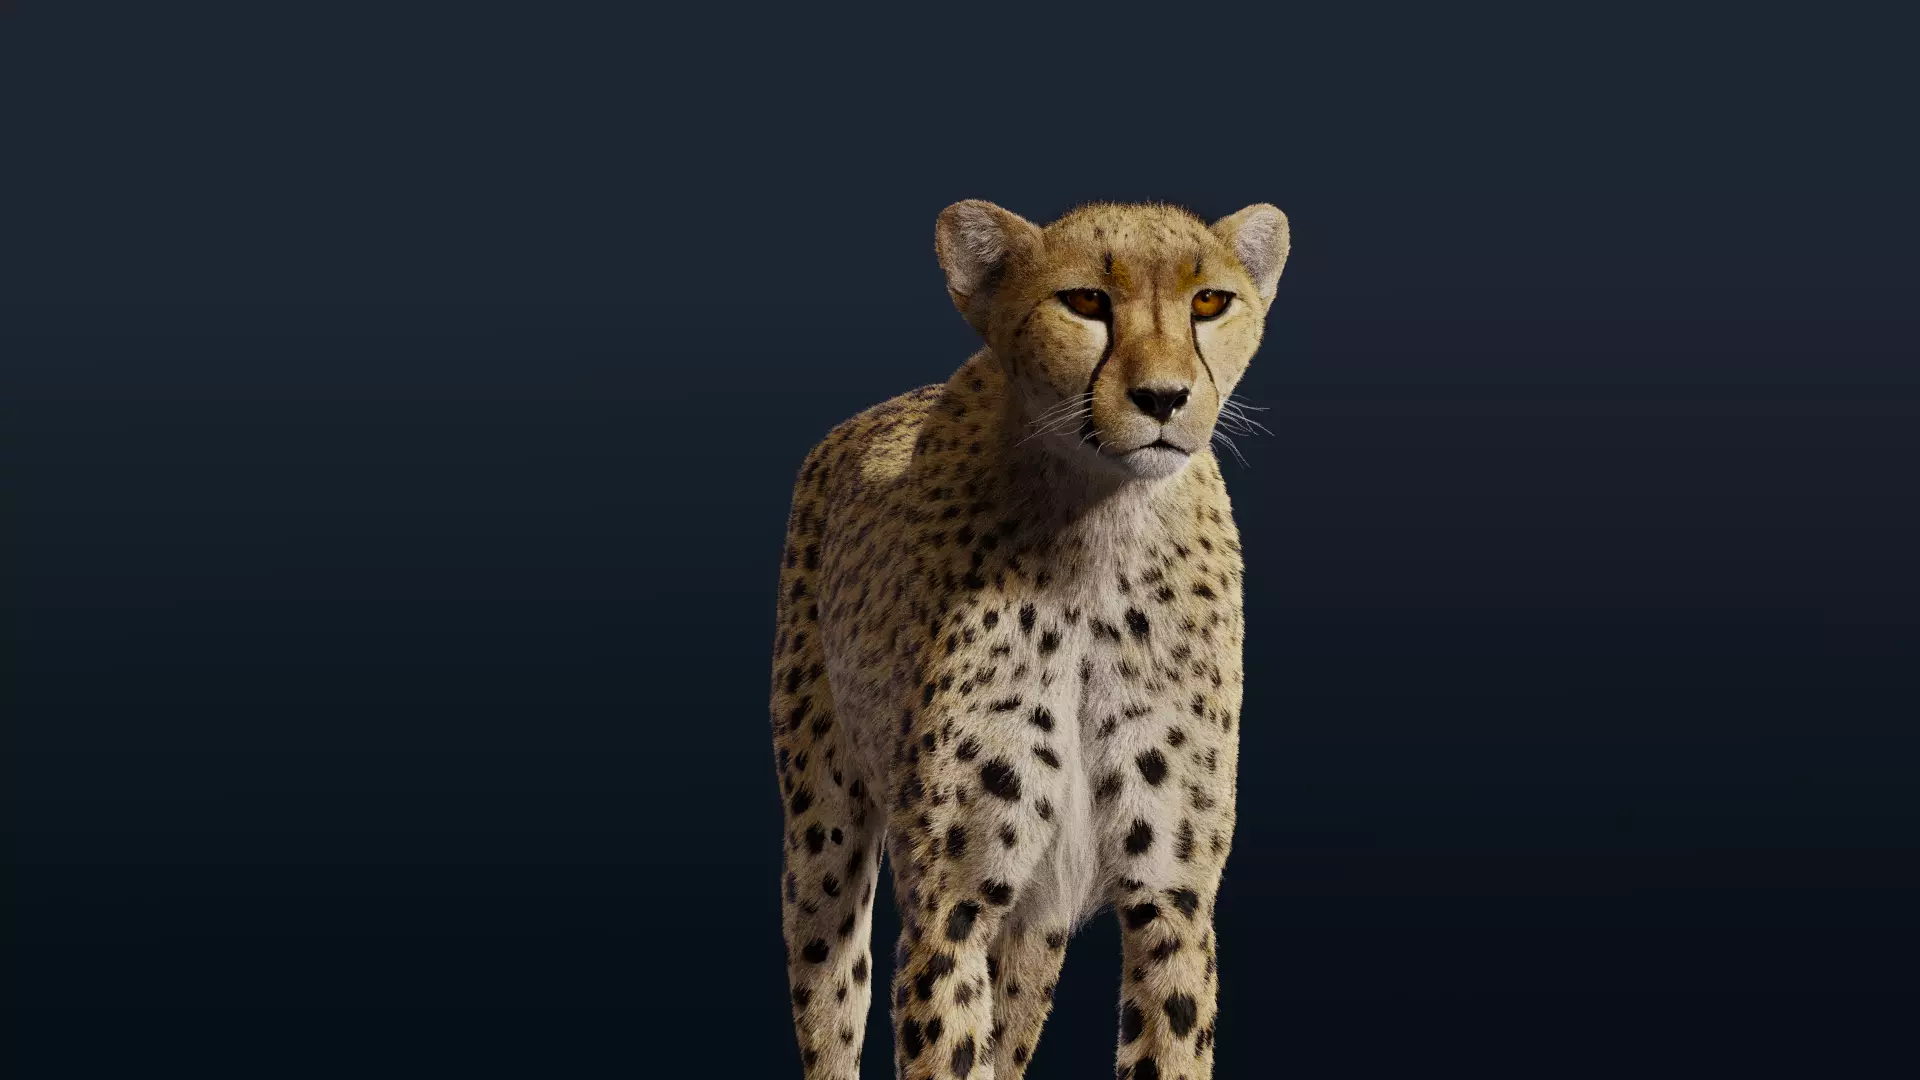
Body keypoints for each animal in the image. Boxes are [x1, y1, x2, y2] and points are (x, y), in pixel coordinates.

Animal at [768, 198, 1290, 1080]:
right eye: (1084, 302)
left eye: (1210, 302)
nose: (1164, 398)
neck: (1097, 537)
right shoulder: (951, 903)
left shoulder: (1172, 898)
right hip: (822, 831)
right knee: (833, 992)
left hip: (1037, 915)